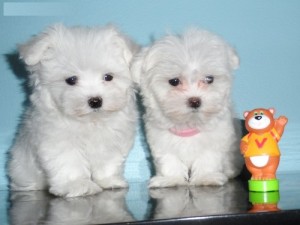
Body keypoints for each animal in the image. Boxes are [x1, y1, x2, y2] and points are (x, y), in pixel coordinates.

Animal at [7, 24, 137, 197]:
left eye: (108, 77)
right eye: (71, 80)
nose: (95, 101)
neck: (89, 121)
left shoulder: (113, 139)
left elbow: (108, 161)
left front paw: (109, 181)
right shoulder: (58, 140)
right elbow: (68, 162)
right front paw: (77, 185)